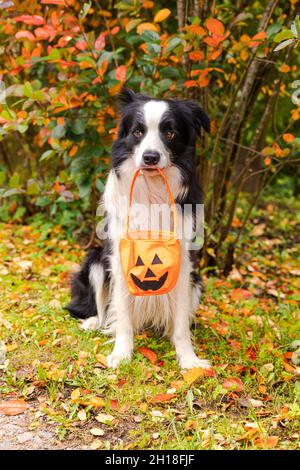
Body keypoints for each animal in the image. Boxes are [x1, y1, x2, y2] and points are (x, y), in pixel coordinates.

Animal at [66, 86, 210, 370]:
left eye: (170, 132)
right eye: (137, 132)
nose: (150, 157)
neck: (152, 190)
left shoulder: (183, 261)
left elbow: (180, 323)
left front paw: (188, 359)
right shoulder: (119, 257)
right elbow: (121, 313)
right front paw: (122, 354)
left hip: (196, 282)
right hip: (96, 261)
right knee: (100, 309)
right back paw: (93, 322)